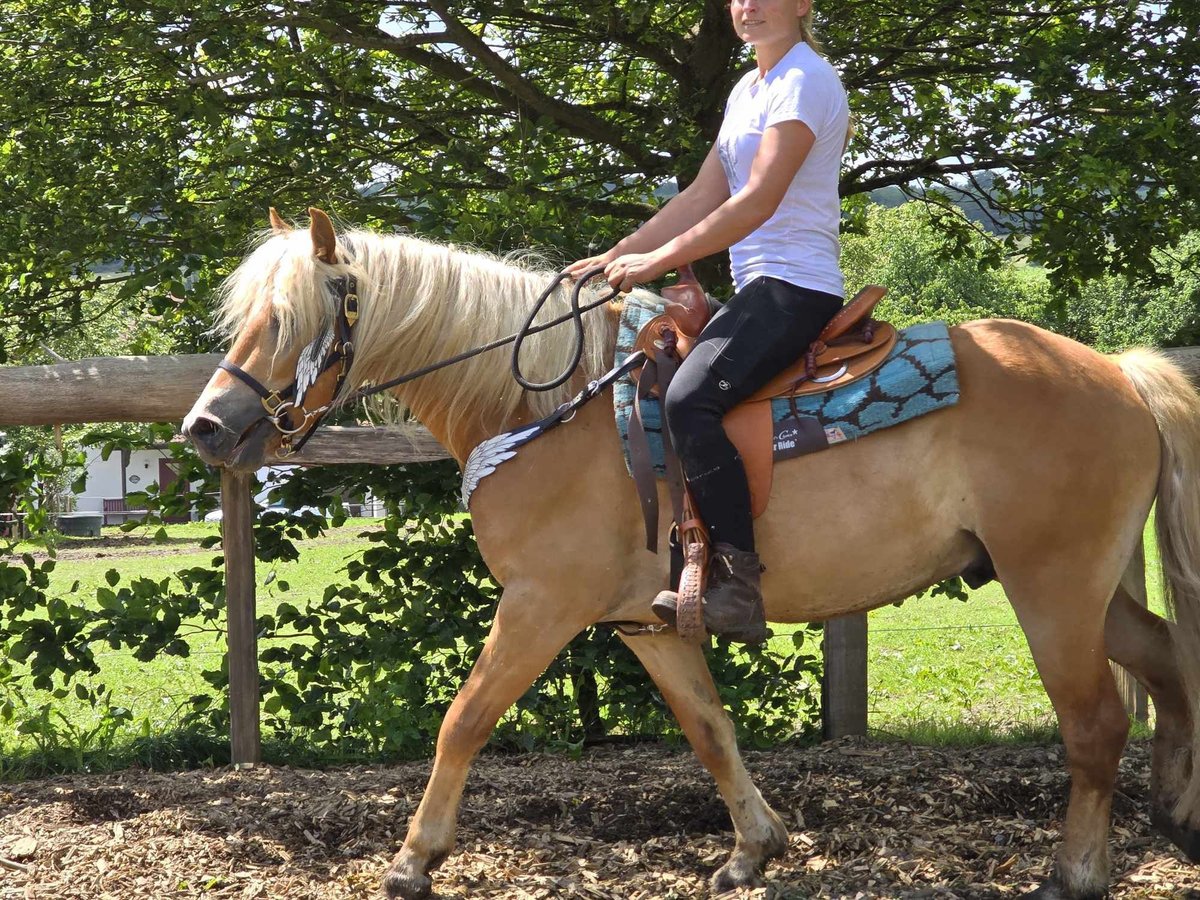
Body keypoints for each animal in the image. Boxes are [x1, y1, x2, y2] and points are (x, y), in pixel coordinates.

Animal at [180, 211, 1200, 900]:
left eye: (285, 319)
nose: (205, 427)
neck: (543, 408)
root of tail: (1117, 372)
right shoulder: (647, 623)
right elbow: (709, 728)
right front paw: (753, 847)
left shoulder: (540, 607)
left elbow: (463, 721)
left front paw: (412, 858)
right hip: (1081, 586)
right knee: (1165, 659)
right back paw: (1176, 814)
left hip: (1052, 585)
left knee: (1096, 722)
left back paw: (1076, 869)